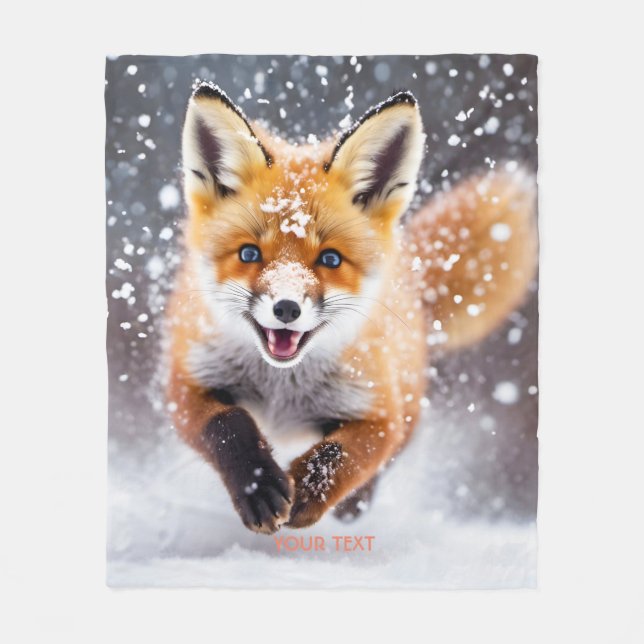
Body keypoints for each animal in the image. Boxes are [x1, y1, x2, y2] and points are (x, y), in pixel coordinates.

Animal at [165, 81, 537, 534]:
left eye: (330, 259)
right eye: (249, 253)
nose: (286, 308)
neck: (281, 390)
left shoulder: (380, 411)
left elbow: (346, 454)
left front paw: (311, 491)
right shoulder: (186, 383)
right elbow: (227, 424)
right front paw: (258, 486)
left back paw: (354, 502)